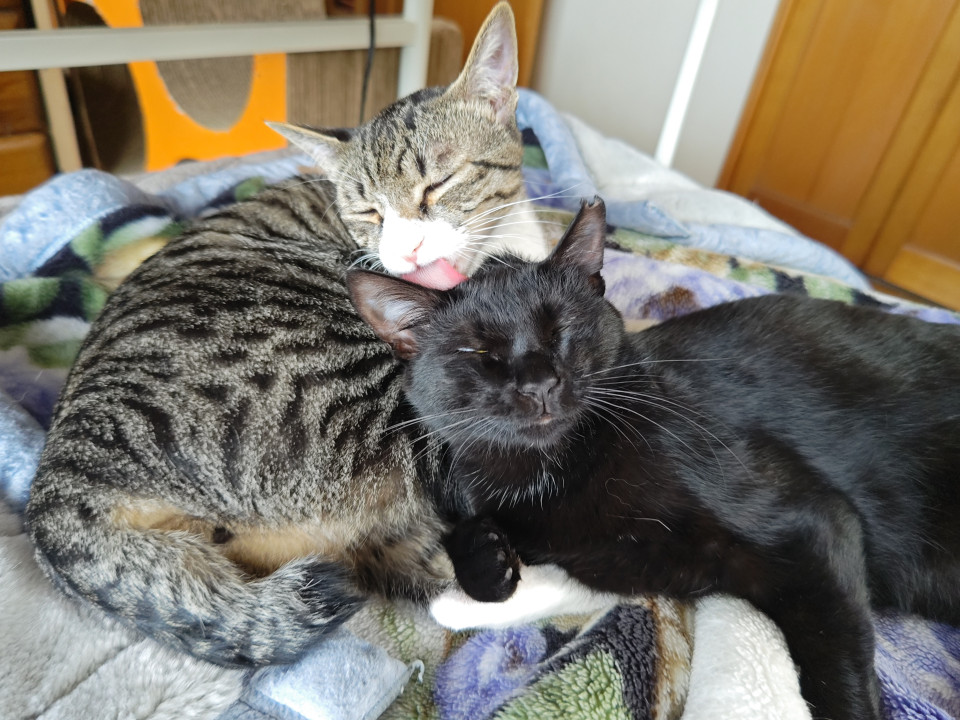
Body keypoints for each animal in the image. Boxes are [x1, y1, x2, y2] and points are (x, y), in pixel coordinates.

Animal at [348, 198, 960, 720]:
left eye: (561, 328)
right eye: (479, 352)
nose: (540, 383)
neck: (554, 474)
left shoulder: (812, 524)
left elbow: (838, 667)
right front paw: (486, 562)